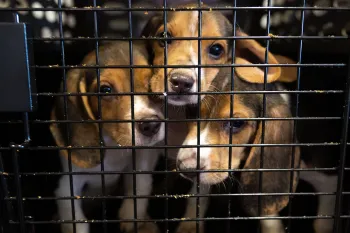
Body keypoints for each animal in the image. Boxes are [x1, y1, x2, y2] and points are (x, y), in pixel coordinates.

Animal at [50, 41, 165, 233]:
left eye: (151, 84)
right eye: (105, 90)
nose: (151, 126)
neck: (112, 145)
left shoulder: (141, 158)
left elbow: (140, 182)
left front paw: (132, 215)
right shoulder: (65, 185)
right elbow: (75, 218)